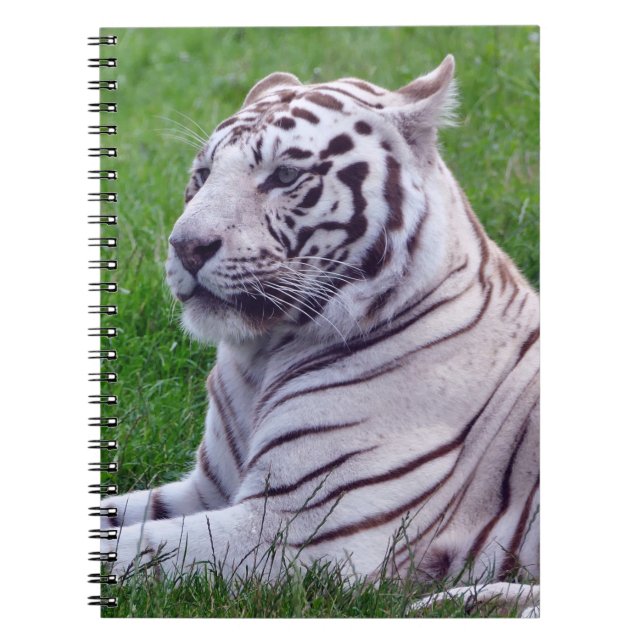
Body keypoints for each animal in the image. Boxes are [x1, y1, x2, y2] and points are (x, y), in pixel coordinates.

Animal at [101, 55, 540, 614]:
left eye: (284, 175)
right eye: (201, 176)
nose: (185, 246)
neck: (260, 358)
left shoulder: (296, 531)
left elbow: (130, 550)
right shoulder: (208, 490)